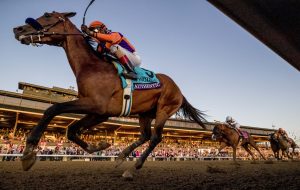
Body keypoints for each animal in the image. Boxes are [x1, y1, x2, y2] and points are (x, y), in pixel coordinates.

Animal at [12, 11, 207, 178]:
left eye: (47, 15)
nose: (18, 29)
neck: (91, 66)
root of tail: (180, 91)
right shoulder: (100, 112)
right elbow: (71, 129)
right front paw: (99, 145)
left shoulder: (97, 104)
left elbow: (53, 109)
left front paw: (28, 151)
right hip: (145, 113)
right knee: (145, 135)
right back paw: (121, 156)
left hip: (164, 109)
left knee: (156, 137)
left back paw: (134, 166)